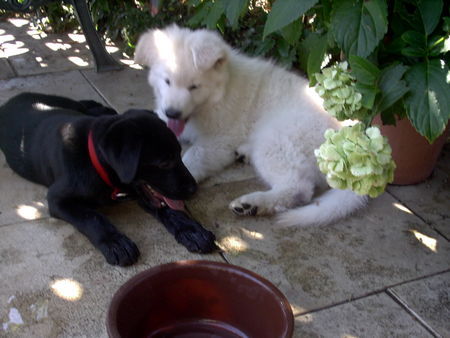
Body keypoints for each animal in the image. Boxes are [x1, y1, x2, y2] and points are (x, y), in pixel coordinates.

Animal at [0, 93, 216, 266]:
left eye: (179, 154)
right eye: (164, 163)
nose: (194, 189)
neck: (94, 162)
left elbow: (168, 209)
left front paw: (190, 229)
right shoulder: (57, 199)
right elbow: (92, 217)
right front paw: (115, 242)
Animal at [135, 25, 368, 226]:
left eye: (194, 87)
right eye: (167, 81)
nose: (172, 112)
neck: (216, 97)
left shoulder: (219, 141)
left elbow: (193, 156)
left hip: (276, 138)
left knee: (298, 188)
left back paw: (252, 204)